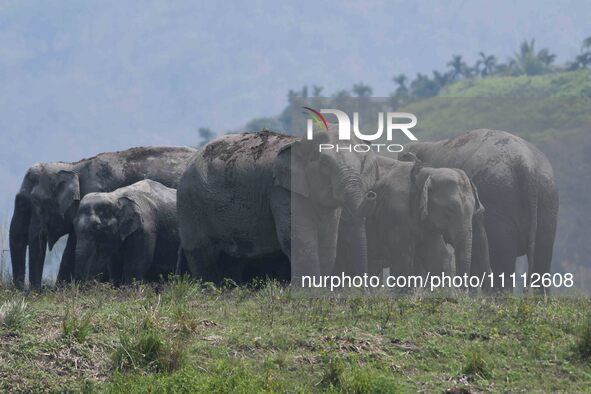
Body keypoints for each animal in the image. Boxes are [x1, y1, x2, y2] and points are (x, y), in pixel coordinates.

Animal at [177, 129, 380, 286]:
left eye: (363, 162)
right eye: (324, 164)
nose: (372, 195)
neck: (300, 141)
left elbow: (328, 243)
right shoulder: (281, 191)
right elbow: (297, 239)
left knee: (231, 259)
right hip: (190, 204)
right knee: (201, 252)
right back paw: (210, 290)